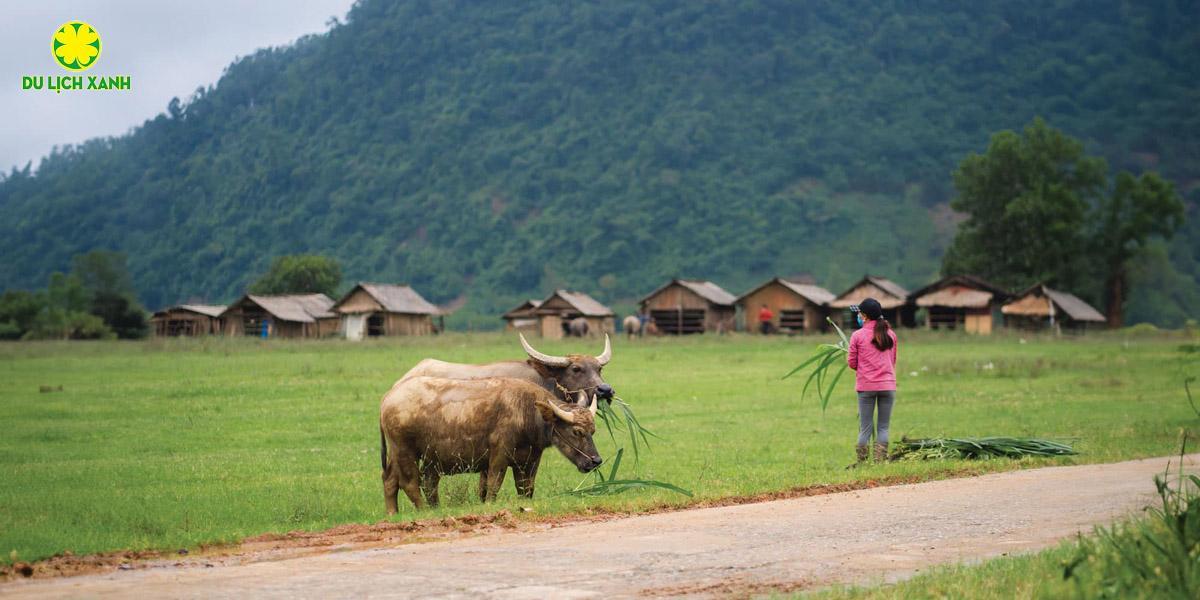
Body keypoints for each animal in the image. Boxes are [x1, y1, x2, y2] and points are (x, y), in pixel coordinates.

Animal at [379, 374, 600, 511]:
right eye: (577, 431)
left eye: (593, 431)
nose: (596, 461)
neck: (526, 411)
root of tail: (388, 398)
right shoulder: (498, 458)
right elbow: (493, 486)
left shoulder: (528, 461)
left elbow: (525, 489)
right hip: (405, 451)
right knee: (410, 483)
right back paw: (425, 510)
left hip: (405, 456)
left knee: (393, 480)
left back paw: (394, 513)